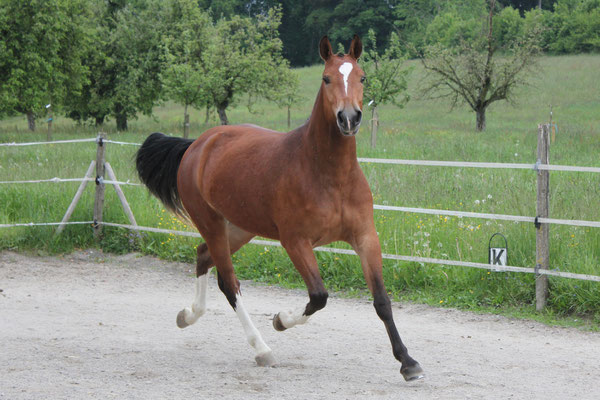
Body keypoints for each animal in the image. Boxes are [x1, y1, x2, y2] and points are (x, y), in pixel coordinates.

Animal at [137, 35, 422, 382]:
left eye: (363, 77)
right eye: (326, 78)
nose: (349, 118)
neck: (329, 175)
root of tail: (197, 145)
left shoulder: (365, 237)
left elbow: (381, 299)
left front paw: (408, 362)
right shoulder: (295, 241)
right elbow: (318, 296)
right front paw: (280, 320)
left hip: (239, 227)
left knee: (203, 256)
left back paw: (188, 315)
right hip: (211, 222)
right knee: (229, 283)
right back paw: (262, 349)